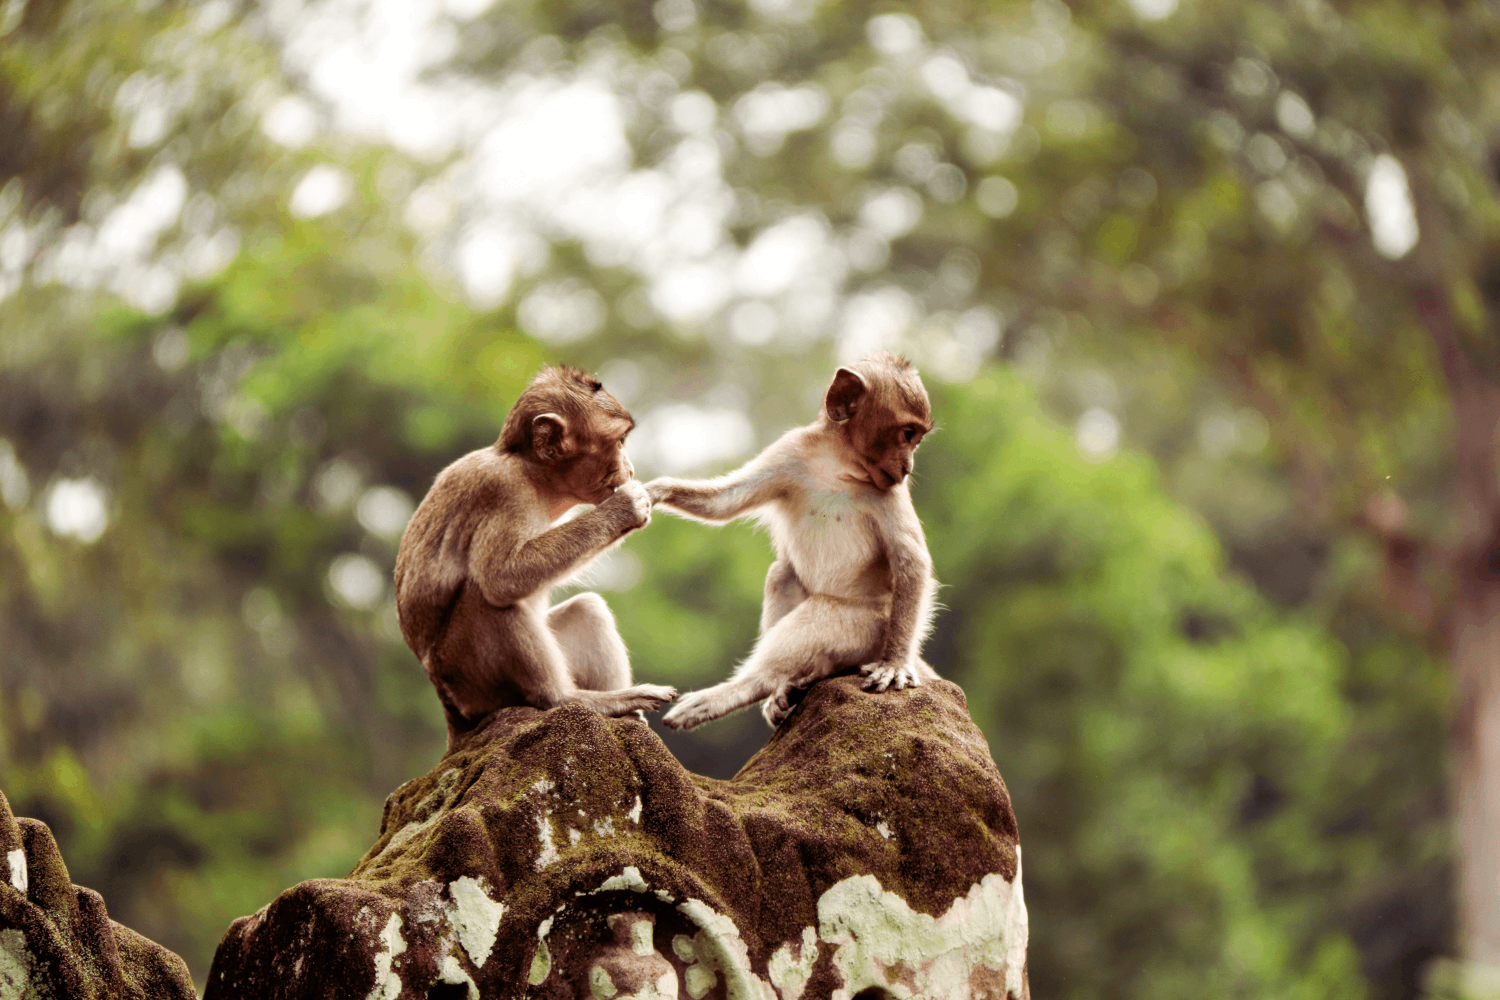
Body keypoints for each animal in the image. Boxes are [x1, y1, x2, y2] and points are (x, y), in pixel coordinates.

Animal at [399, 364, 681, 746]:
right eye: (620, 441)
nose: (632, 469)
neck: (533, 476)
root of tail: (453, 717)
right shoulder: (504, 490)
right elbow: (503, 576)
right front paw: (626, 506)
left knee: (587, 607)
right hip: (471, 683)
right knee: (486, 595)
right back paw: (565, 698)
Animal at [648, 355, 936, 731]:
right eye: (907, 434)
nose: (908, 466)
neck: (840, 462)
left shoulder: (890, 491)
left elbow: (911, 561)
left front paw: (896, 664)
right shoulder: (792, 450)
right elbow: (724, 503)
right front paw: (656, 490)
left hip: (870, 630)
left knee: (823, 613)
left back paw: (748, 687)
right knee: (781, 572)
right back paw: (786, 688)